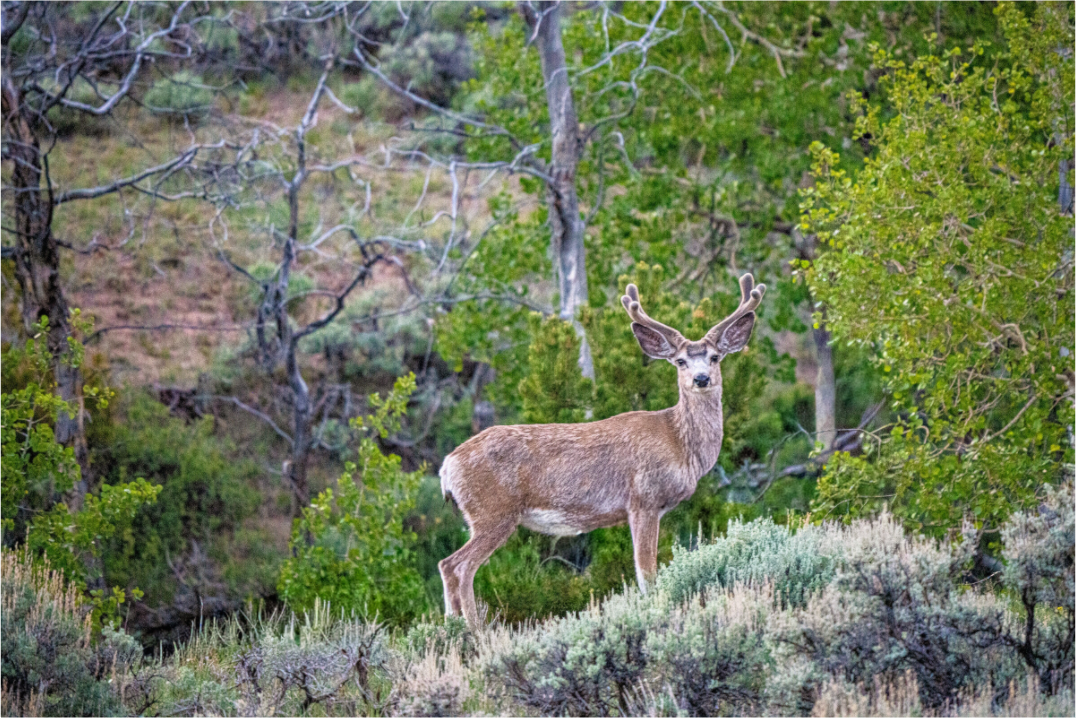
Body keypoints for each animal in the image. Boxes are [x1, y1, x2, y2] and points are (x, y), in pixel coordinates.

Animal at [438, 274, 766, 626]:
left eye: (715, 357)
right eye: (680, 361)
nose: (702, 378)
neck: (679, 443)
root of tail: (447, 465)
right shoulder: (643, 500)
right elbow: (646, 573)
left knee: (447, 565)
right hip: (493, 511)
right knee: (459, 566)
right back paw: (474, 629)